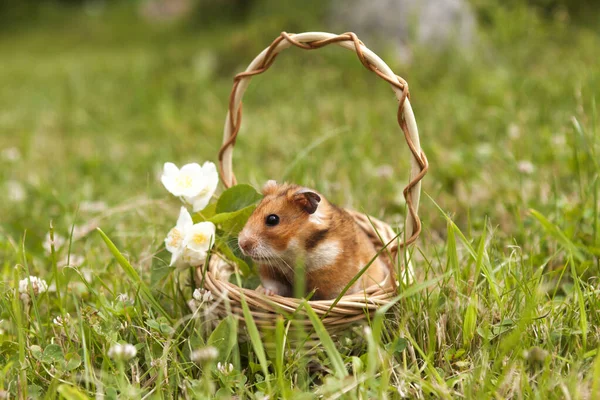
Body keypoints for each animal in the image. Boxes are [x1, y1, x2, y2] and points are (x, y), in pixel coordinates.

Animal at [238, 181, 390, 300]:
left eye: (272, 219)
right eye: (254, 212)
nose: (241, 244)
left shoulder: (334, 284)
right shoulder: (272, 272)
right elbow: (273, 286)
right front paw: (263, 293)